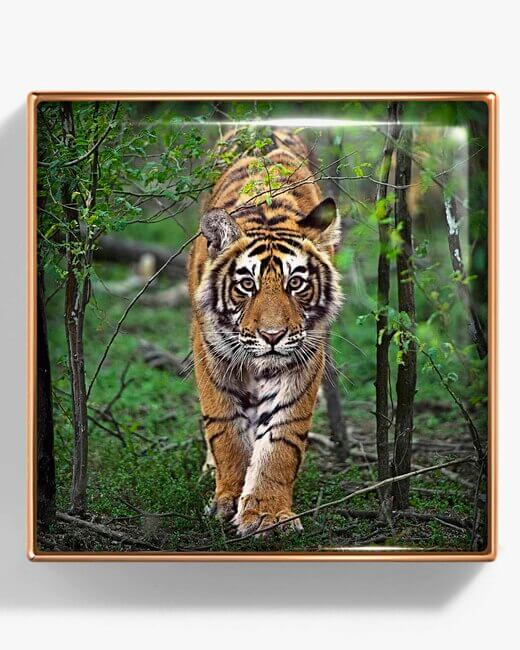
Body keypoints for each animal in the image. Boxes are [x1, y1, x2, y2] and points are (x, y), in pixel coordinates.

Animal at [188, 130, 342, 537]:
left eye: (296, 283)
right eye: (247, 284)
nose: (272, 336)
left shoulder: (302, 360)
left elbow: (280, 440)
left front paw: (266, 514)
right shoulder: (213, 357)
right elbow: (226, 432)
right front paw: (227, 499)